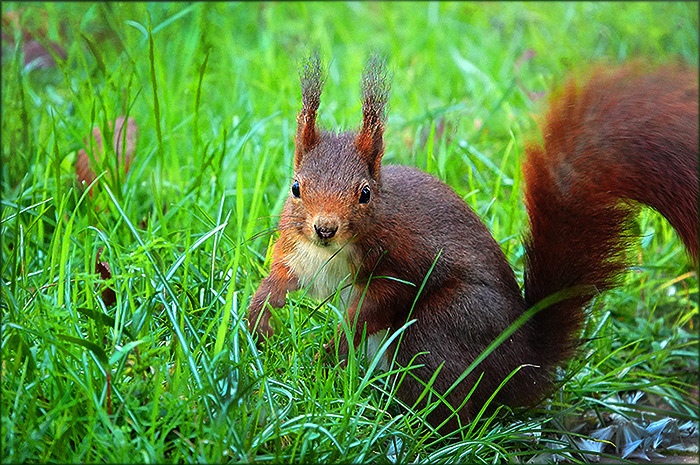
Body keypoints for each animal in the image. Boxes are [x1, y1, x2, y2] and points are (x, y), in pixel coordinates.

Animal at [247, 53, 699, 432]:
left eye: (364, 194)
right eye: (295, 188)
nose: (325, 228)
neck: (329, 253)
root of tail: (528, 363)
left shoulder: (402, 262)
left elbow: (380, 303)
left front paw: (331, 351)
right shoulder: (296, 251)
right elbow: (278, 282)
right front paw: (256, 325)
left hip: (442, 330)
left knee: (448, 403)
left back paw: (410, 427)